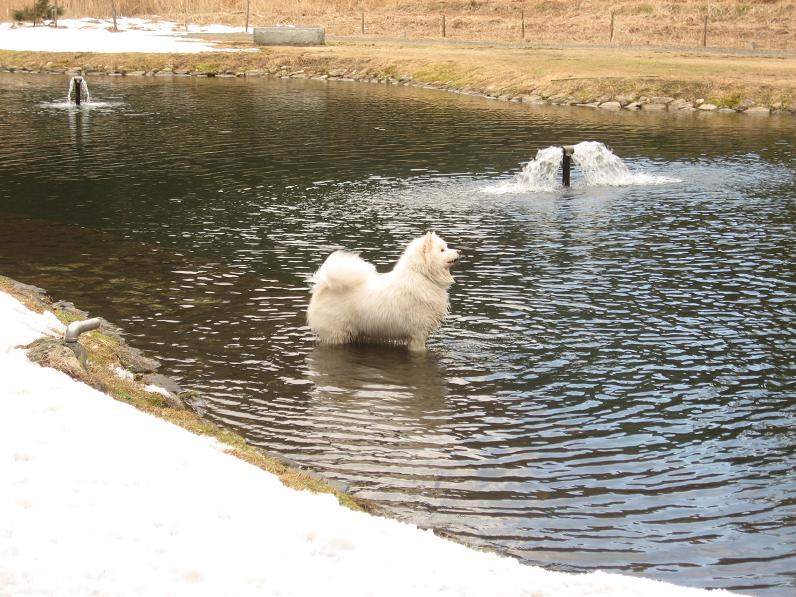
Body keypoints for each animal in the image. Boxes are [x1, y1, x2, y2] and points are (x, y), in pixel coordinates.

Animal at [310, 229, 460, 350]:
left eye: (446, 247)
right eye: (442, 250)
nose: (459, 251)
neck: (423, 276)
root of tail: (324, 284)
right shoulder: (418, 334)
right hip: (337, 335)